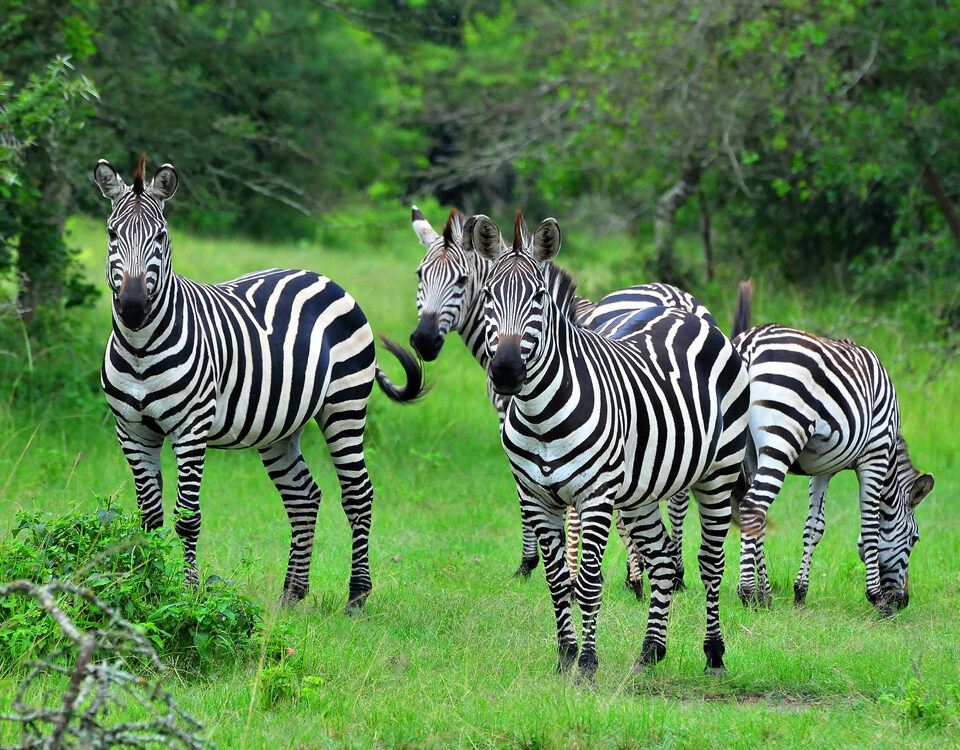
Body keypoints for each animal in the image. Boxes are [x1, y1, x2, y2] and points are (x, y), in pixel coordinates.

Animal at [94, 156, 424, 612]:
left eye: (161, 236)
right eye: (112, 234)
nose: (132, 306)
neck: (140, 346)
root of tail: (323, 277)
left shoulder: (190, 430)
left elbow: (187, 518)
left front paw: (188, 596)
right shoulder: (131, 431)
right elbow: (149, 518)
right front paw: (144, 588)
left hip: (345, 406)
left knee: (358, 494)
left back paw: (357, 595)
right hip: (281, 427)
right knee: (304, 497)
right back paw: (292, 593)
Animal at [408, 207, 708, 592]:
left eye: (461, 280)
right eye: (420, 275)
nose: (424, 341)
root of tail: (676, 300)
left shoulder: (518, 421)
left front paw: (532, 563)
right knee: (679, 493)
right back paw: (677, 571)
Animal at [472, 209, 752, 680]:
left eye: (539, 299)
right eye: (489, 296)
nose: (506, 372)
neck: (540, 415)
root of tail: (690, 316)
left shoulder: (596, 496)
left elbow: (587, 583)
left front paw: (586, 664)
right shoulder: (536, 497)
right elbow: (557, 581)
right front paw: (566, 657)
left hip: (717, 475)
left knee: (711, 563)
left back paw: (714, 654)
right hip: (642, 492)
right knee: (661, 560)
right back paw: (650, 651)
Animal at [732, 290, 932, 612]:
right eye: (914, 539)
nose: (903, 601)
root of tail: (749, 343)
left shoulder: (822, 468)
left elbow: (814, 527)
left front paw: (800, 592)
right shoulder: (875, 454)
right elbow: (870, 525)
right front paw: (877, 598)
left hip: (747, 449)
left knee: (752, 510)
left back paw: (765, 594)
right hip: (782, 436)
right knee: (753, 506)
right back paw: (749, 593)